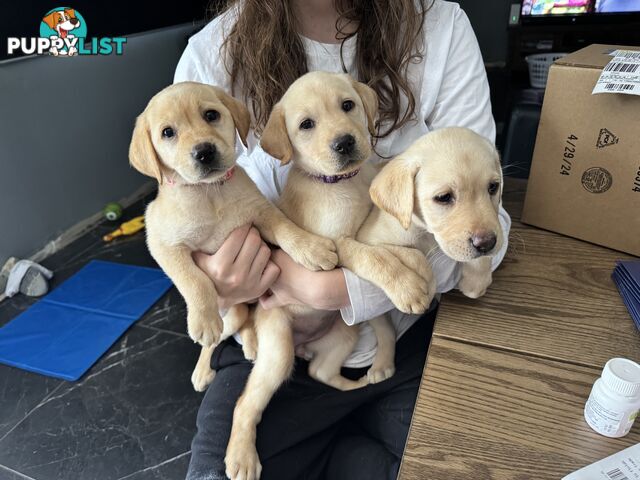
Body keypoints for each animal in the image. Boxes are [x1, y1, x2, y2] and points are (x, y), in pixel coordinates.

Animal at [129, 83, 340, 390]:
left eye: (211, 115)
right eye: (167, 132)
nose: (204, 152)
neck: (210, 192)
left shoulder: (262, 214)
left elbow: (287, 230)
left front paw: (312, 249)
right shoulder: (163, 244)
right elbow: (193, 279)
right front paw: (203, 321)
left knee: (248, 318)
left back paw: (252, 346)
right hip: (230, 310)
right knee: (221, 334)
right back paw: (204, 367)